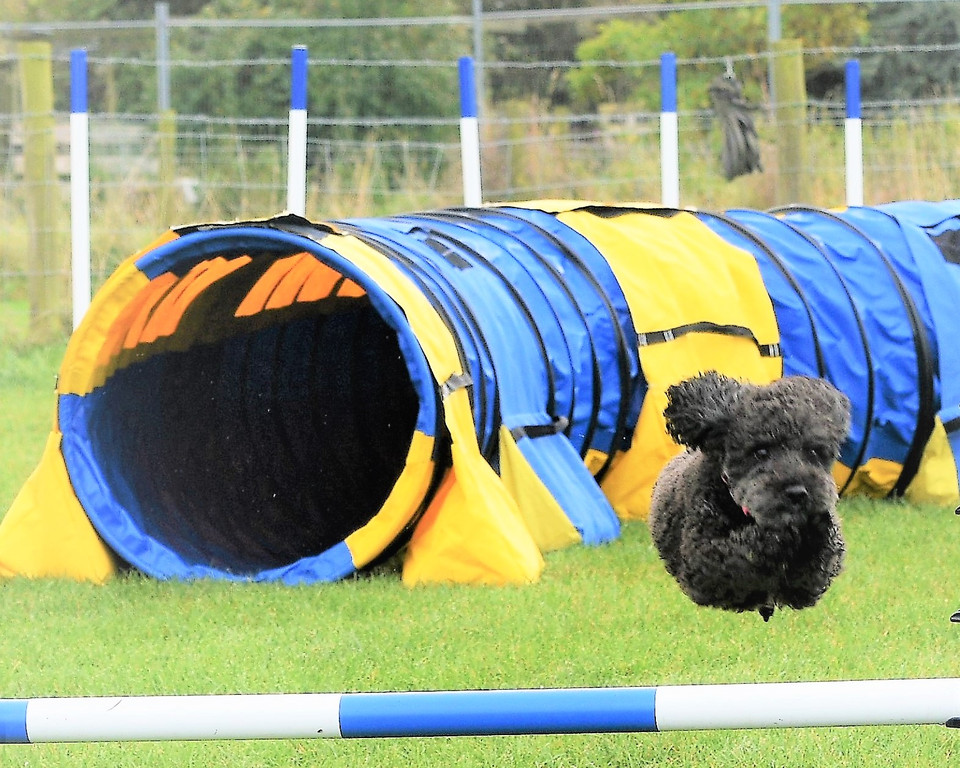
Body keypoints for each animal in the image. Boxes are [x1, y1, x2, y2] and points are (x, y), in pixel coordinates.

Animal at [648, 374, 852, 624]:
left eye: (814, 451)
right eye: (760, 451)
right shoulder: (703, 562)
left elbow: (816, 563)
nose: (797, 492)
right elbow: (745, 552)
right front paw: (779, 535)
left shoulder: (812, 581)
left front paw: (814, 526)